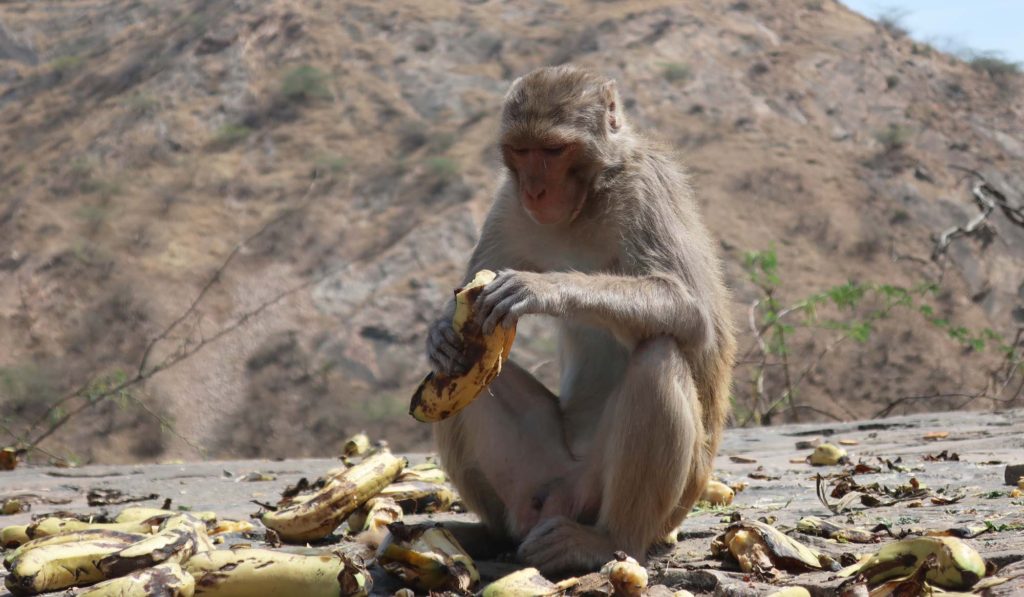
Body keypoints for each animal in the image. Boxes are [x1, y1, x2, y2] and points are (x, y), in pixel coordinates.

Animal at [425, 65, 735, 574]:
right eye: (522, 151)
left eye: (553, 151)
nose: (535, 189)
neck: (589, 197)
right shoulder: (509, 205)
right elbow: (467, 293)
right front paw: (438, 335)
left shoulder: (646, 188)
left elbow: (689, 309)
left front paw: (541, 289)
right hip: (538, 471)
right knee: (458, 377)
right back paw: (494, 534)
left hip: (659, 499)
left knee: (658, 355)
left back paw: (609, 541)